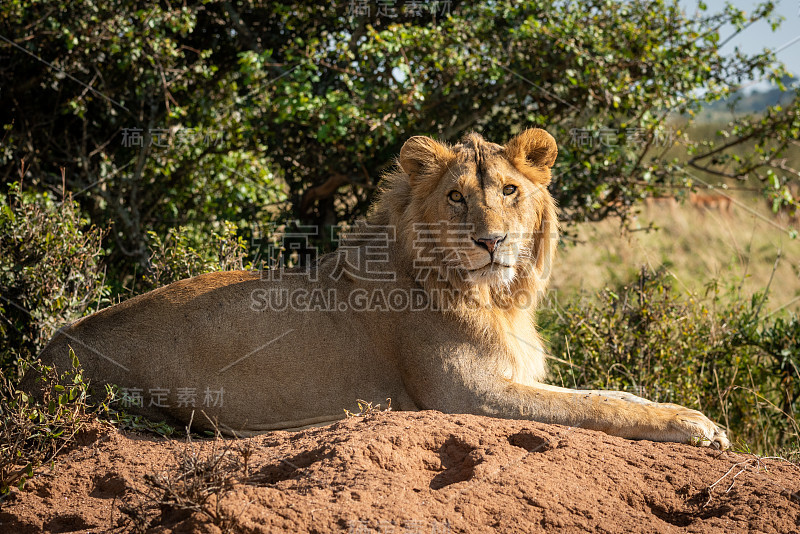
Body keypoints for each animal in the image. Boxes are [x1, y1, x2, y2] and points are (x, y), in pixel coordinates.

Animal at [31, 131, 732, 452]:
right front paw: (697, 427)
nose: (492, 242)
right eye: (457, 198)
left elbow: (613, 392)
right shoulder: (466, 395)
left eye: (510, 190)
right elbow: (600, 407)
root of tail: (45, 350)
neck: (495, 297)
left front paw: (696, 417)